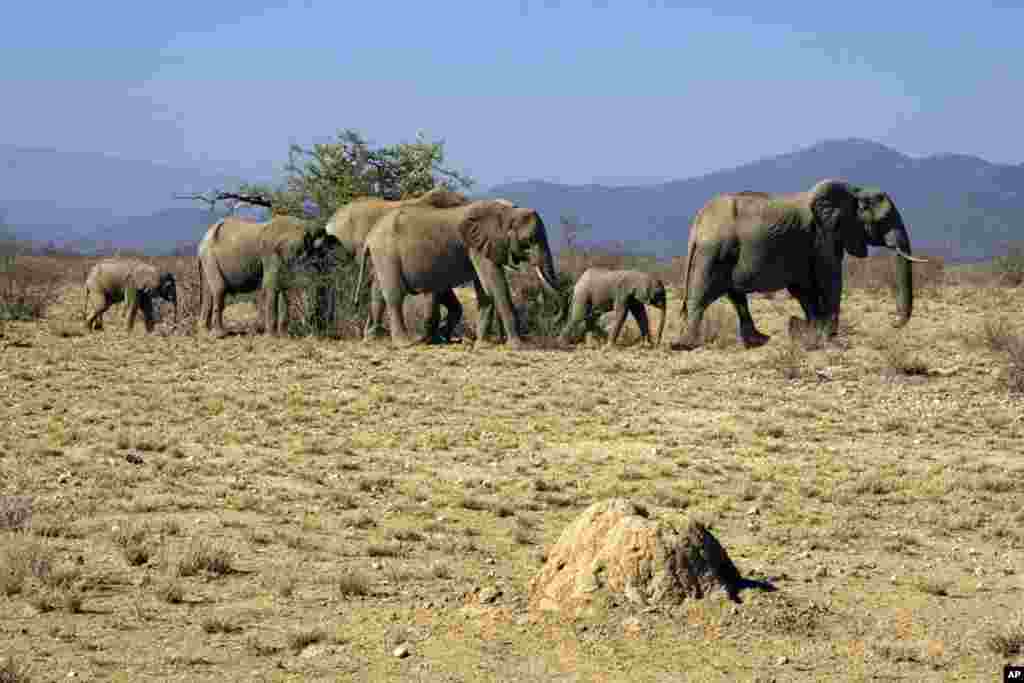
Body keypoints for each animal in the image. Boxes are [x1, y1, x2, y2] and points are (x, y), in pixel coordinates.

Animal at [197, 215, 339, 338]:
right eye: (320, 251)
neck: (305, 225)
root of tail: (203, 240)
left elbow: (283, 286)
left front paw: (284, 336)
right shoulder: (271, 253)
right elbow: (272, 285)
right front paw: (271, 336)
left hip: (207, 260)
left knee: (208, 293)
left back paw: (204, 332)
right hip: (210, 257)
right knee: (219, 290)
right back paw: (219, 334)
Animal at [355, 200, 563, 349]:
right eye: (528, 241)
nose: (555, 318)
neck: (506, 212)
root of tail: (370, 236)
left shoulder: (480, 247)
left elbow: (485, 290)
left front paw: (483, 346)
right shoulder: (476, 247)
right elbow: (495, 284)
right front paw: (518, 346)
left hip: (381, 256)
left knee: (377, 293)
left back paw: (373, 340)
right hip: (387, 253)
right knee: (394, 295)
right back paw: (405, 343)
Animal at [670, 179, 926, 350]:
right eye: (884, 221)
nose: (893, 322)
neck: (854, 190)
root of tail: (697, 224)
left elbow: (804, 289)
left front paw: (809, 332)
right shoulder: (823, 235)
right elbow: (830, 278)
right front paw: (828, 337)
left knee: (735, 296)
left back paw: (759, 341)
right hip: (714, 252)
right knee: (702, 295)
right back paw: (685, 345)